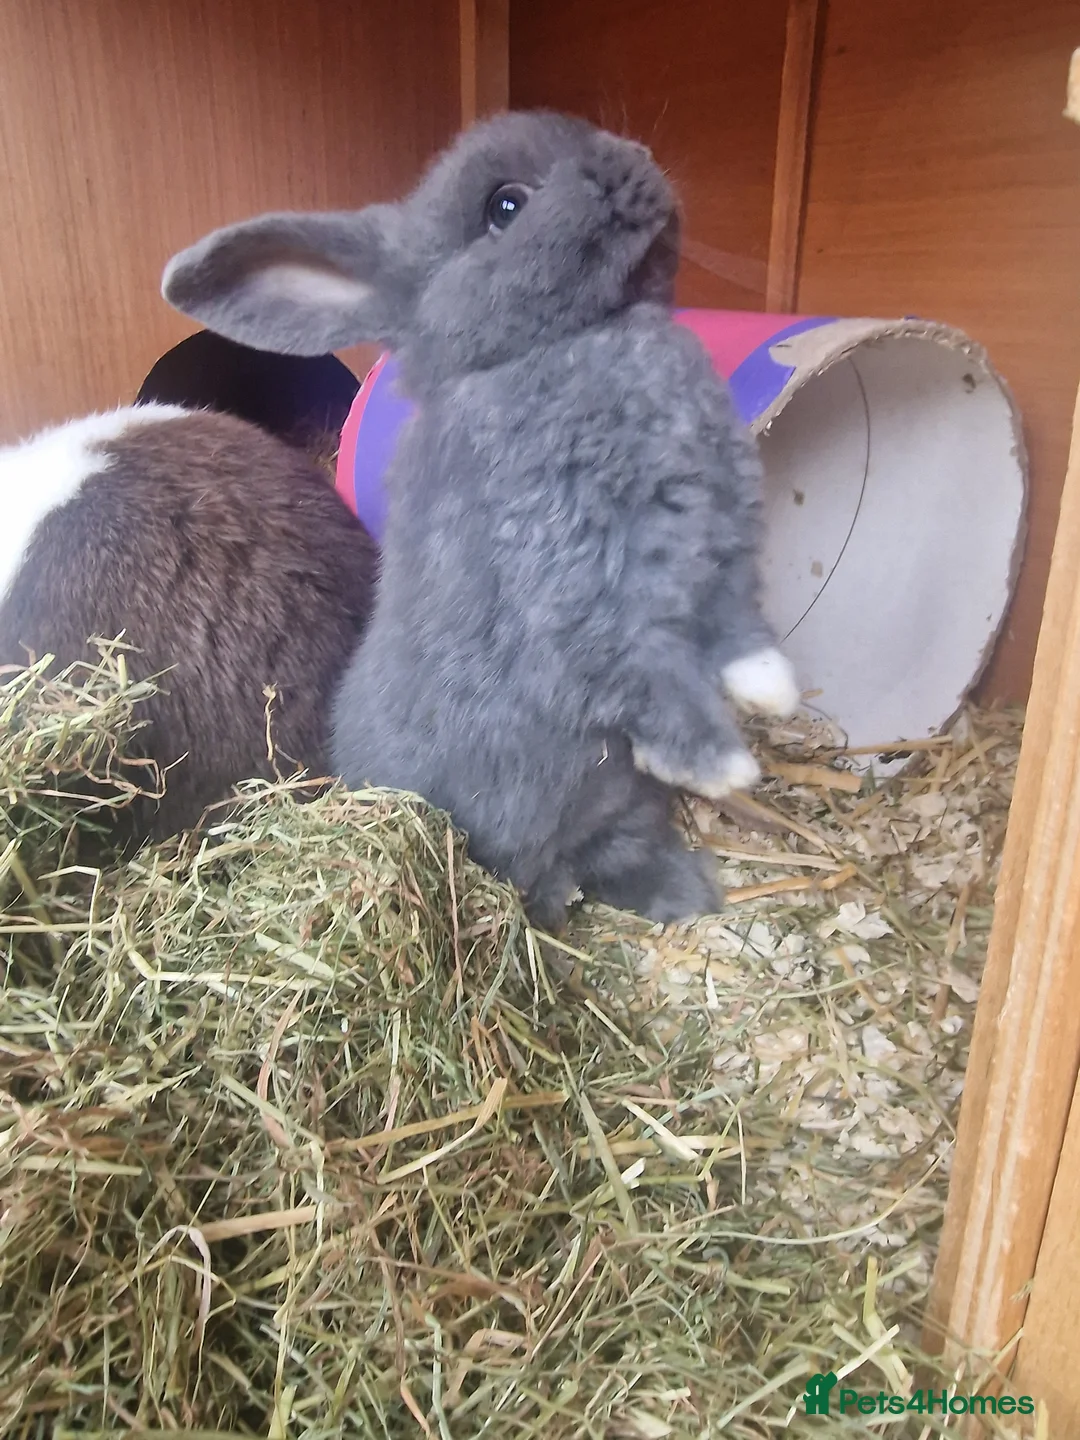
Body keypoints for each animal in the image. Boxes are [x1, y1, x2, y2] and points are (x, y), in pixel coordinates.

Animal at [161, 109, 800, 931]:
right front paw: (722, 766)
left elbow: (738, 630)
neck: (549, 347)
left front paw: (772, 693)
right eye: (505, 207)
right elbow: (648, 671)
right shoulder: (579, 589)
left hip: (624, 807)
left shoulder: (720, 550)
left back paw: (686, 893)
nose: (636, 161)